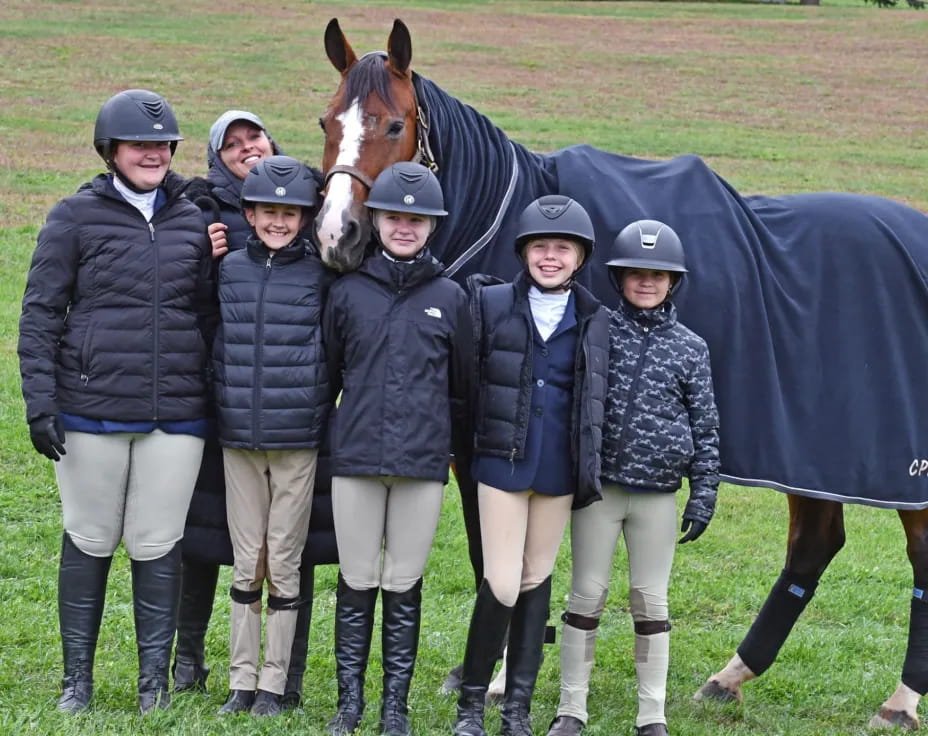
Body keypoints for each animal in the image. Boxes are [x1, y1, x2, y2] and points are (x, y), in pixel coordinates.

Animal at [316, 17, 928, 732]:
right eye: (327, 120)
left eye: (393, 125)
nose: (337, 236)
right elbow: (493, 555)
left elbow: (498, 557)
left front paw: (494, 680)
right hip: (813, 456)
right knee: (815, 543)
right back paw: (732, 676)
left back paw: (901, 700)